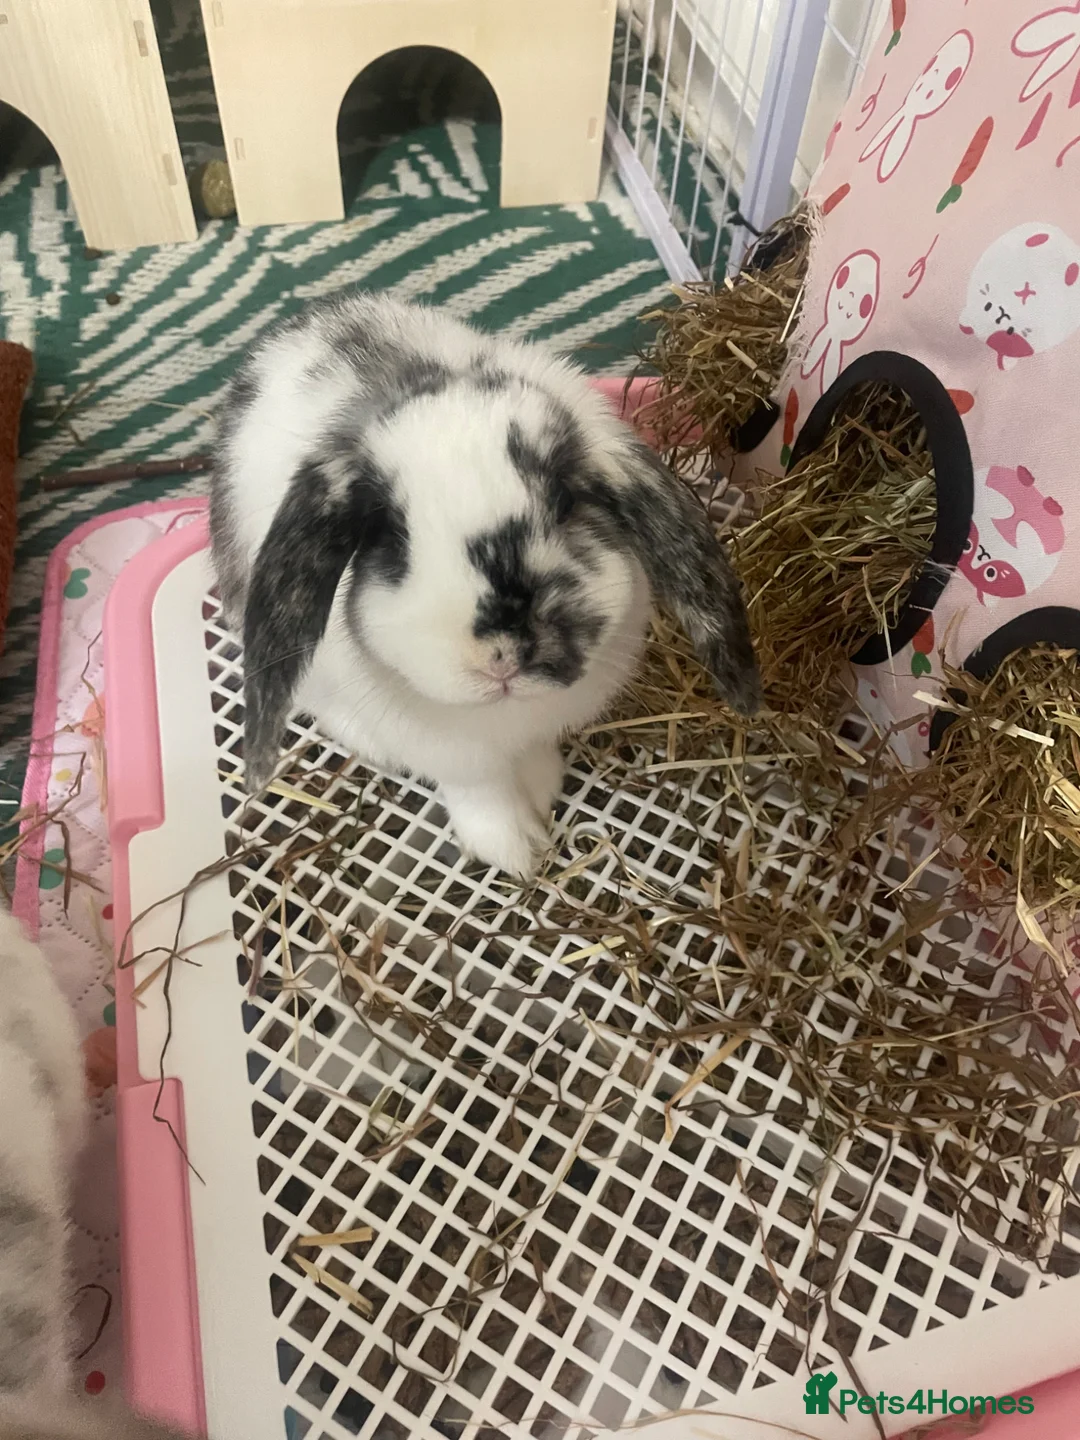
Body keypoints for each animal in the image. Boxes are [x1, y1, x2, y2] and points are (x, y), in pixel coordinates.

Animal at [210, 292, 761, 876]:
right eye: (393, 536)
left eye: (565, 502)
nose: (501, 657)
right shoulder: (455, 759)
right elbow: (481, 795)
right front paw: (515, 854)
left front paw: (543, 788)